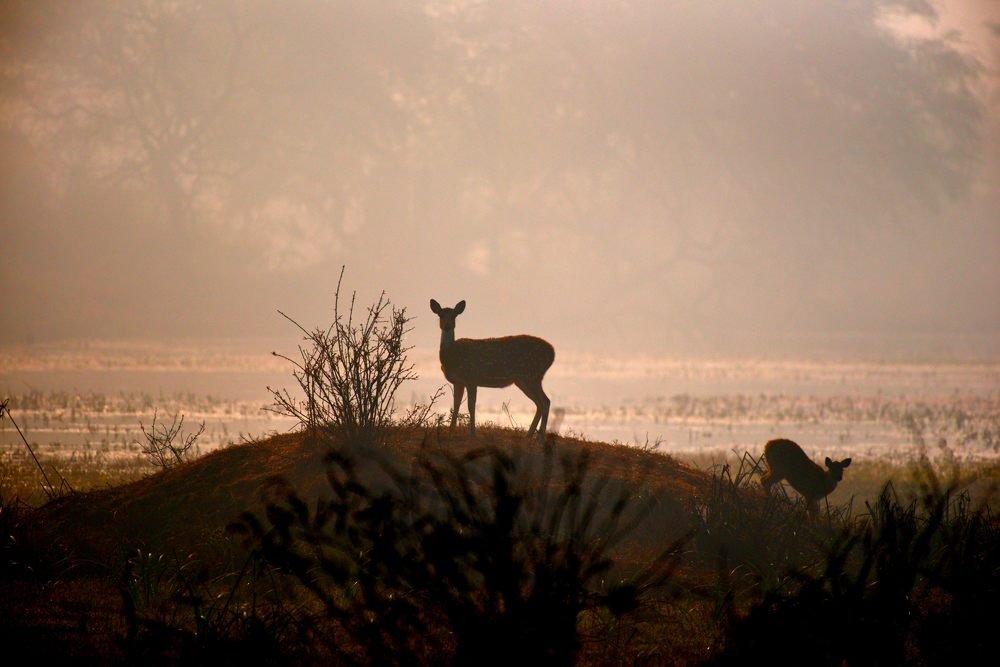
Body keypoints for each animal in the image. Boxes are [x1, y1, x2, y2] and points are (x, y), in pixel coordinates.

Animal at [429, 299, 555, 443]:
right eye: (440, 315)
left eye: (454, 315)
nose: (447, 326)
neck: (450, 356)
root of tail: (552, 353)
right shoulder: (458, 382)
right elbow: (456, 404)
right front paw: (451, 431)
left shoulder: (472, 377)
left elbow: (471, 406)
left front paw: (473, 433)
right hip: (525, 379)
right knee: (539, 403)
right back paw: (528, 435)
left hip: (531, 375)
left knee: (545, 402)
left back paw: (540, 438)